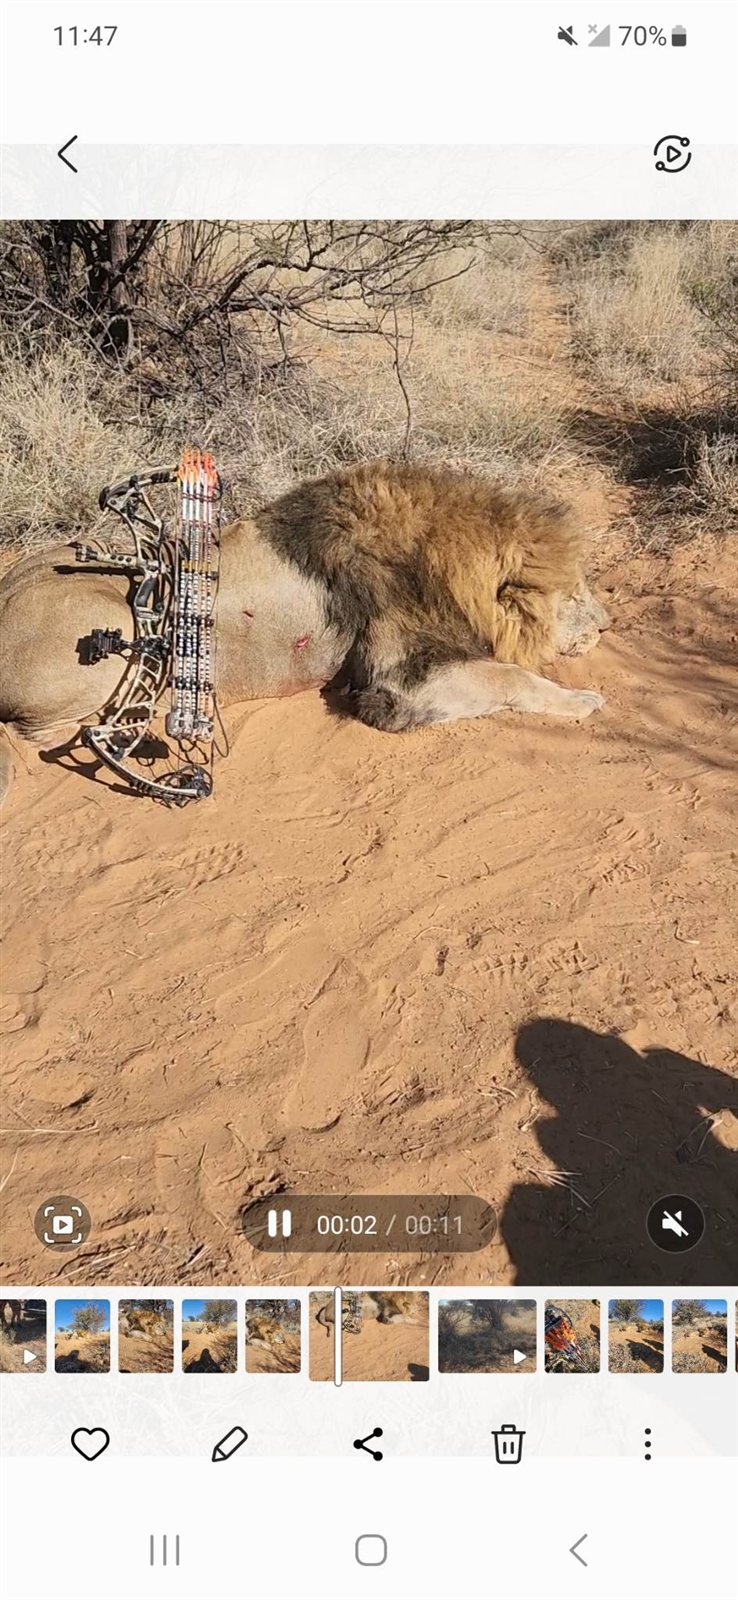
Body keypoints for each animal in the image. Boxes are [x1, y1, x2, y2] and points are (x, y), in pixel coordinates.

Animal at [0, 460, 608, 801]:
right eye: (576, 596)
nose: (608, 625)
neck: (442, 558)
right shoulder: (398, 682)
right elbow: (512, 677)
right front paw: (586, 700)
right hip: (113, 632)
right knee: (40, 737)